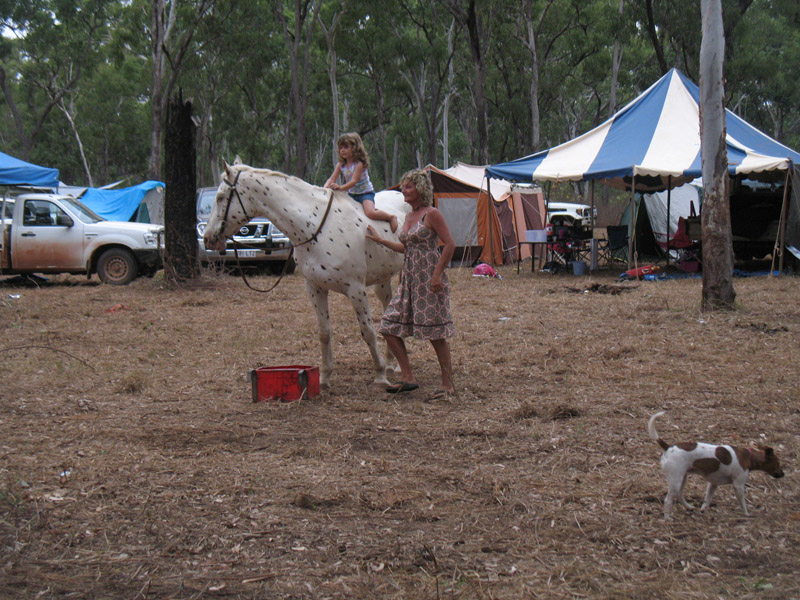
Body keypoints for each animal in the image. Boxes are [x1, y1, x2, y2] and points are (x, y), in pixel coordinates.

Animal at [203, 161, 410, 390]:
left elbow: (368, 332)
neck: (314, 227)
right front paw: (324, 378)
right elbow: (324, 333)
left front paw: (380, 375)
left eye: (221, 197)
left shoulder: (356, 289)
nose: (208, 238)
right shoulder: (315, 288)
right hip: (382, 280)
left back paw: (393, 367)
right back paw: (392, 363)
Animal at [648, 410, 784, 516]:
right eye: (778, 463)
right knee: (668, 500)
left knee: (679, 495)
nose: (783, 474)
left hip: (682, 478)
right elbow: (742, 503)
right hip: (676, 480)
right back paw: (667, 518)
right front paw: (746, 514)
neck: (749, 456)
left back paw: (689, 507)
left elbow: (708, 499)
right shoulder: (738, 485)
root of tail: (668, 447)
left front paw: (704, 510)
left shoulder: (713, 484)